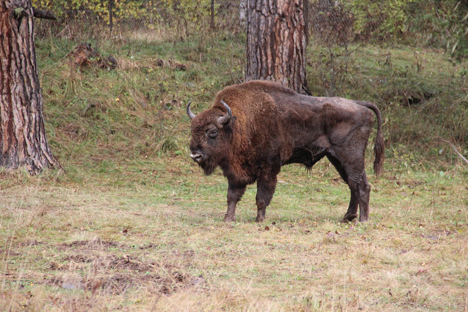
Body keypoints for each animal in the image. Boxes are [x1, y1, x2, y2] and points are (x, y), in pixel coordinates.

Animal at [186, 80, 384, 222]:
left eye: (212, 132)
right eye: (192, 130)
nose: (195, 155)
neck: (238, 124)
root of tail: (359, 105)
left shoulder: (268, 168)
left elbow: (261, 196)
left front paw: (259, 220)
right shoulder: (235, 172)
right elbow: (232, 196)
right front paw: (228, 219)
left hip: (351, 157)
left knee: (361, 185)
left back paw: (362, 220)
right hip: (336, 159)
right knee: (352, 185)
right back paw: (347, 218)